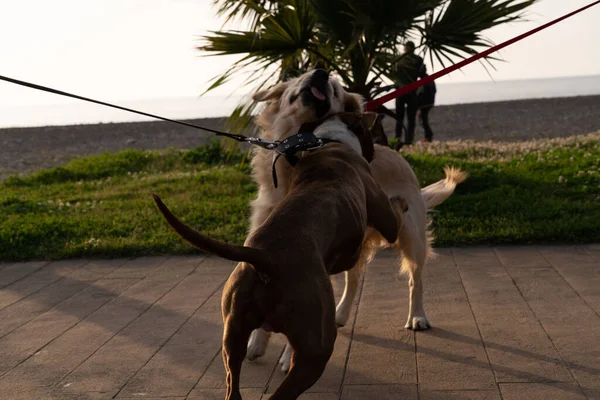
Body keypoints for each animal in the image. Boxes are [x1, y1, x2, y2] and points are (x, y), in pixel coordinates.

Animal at [152, 113, 406, 400]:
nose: (380, 149)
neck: (330, 141)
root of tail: (264, 256)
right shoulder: (385, 219)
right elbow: (394, 214)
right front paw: (402, 201)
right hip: (316, 347)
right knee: (284, 389)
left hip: (233, 333)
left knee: (233, 383)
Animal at [243, 69, 464, 372]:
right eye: (305, 73)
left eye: (336, 89)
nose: (321, 72)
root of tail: (399, 157)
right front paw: (257, 342)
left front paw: (289, 357)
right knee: (356, 278)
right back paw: (341, 314)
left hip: (411, 236)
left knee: (415, 279)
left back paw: (417, 316)